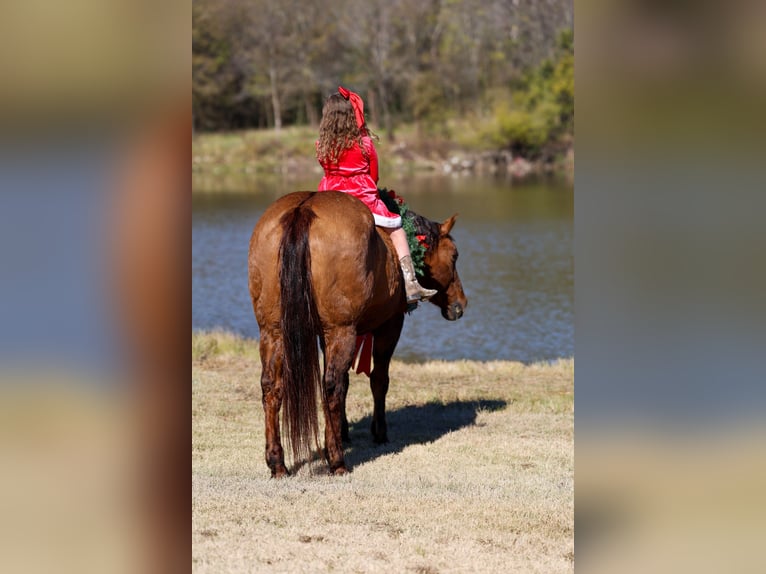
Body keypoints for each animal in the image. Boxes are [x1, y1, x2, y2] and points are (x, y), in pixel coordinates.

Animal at [248, 190, 467, 477]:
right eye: (454, 256)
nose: (460, 305)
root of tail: (302, 210)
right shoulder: (389, 324)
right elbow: (379, 380)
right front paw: (379, 432)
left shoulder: (325, 333)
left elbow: (348, 381)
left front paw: (343, 431)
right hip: (342, 330)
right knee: (330, 386)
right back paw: (337, 460)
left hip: (273, 331)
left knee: (272, 387)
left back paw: (277, 462)